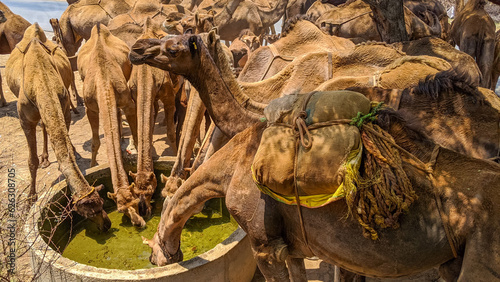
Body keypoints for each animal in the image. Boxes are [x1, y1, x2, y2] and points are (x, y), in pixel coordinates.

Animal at [4, 23, 111, 231]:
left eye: (102, 203)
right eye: (90, 212)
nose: (107, 224)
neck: (40, 80)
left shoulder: (63, 107)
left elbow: (65, 147)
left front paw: (73, 154)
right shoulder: (24, 119)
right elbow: (31, 161)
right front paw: (30, 200)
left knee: (46, 127)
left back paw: (50, 156)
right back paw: (44, 159)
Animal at [76, 24, 144, 227]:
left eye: (136, 200)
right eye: (121, 209)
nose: (138, 222)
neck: (102, 77)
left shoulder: (128, 102)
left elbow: (136, 134)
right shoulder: (91, 108)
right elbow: (95, 142)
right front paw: (92, 166)